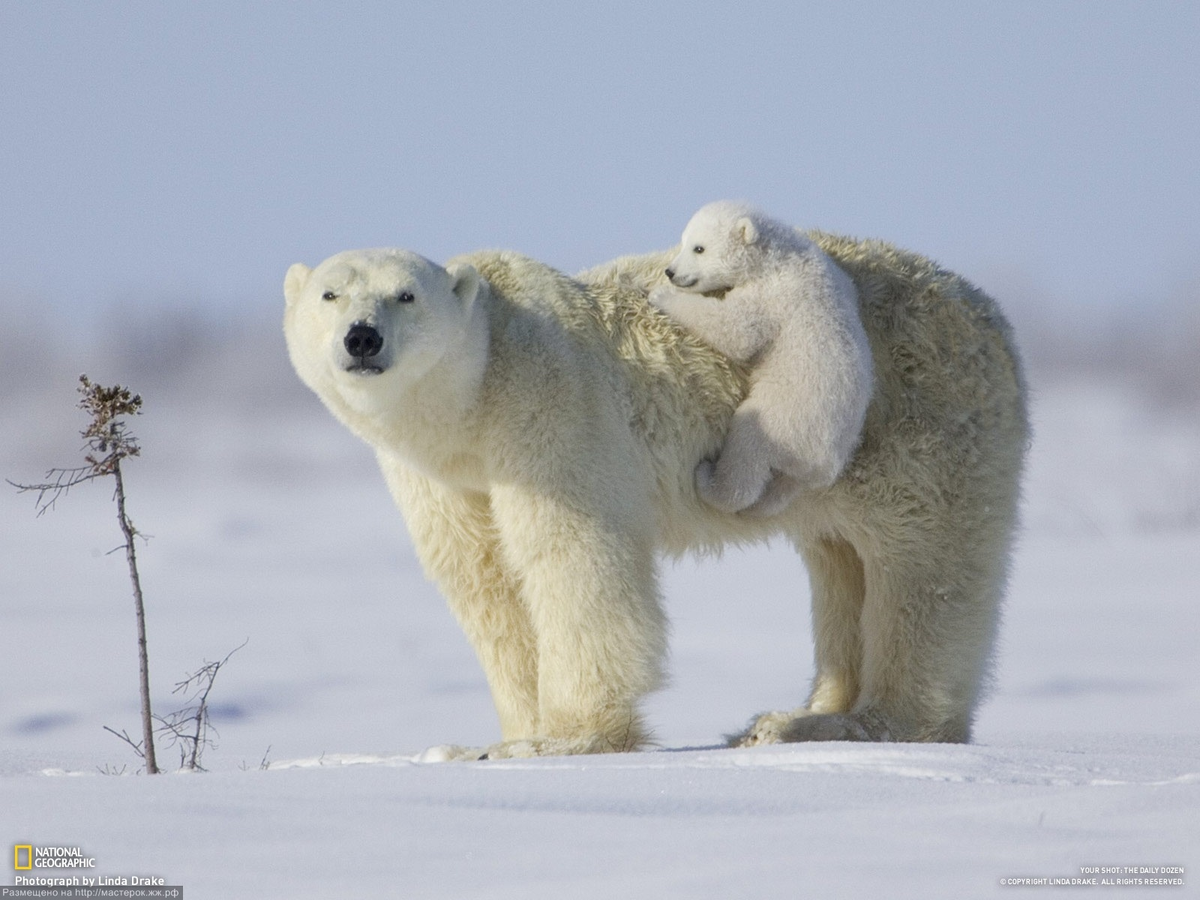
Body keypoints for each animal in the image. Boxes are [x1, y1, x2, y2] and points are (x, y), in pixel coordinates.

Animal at [280, 232, 1022, 763]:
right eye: (329, 294)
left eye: (406, 294)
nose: (362, 337)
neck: (476, 398)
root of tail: (992, 315)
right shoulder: (443, 477)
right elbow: (484, 582)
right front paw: (500, 734)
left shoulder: (549, 408)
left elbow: (573, 559)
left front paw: (561, 738)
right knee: (841, 560)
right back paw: (795, 716)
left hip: (917, 422)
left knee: (921, 571)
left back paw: (868, 722)